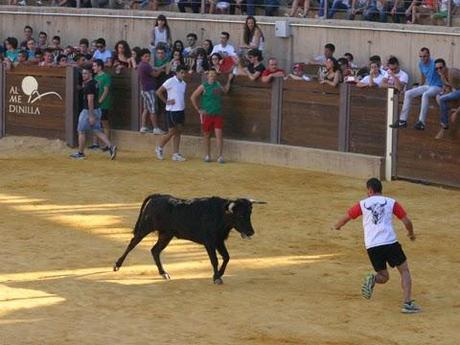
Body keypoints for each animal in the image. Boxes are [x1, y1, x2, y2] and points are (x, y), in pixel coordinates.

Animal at [113, 195, 266, 284]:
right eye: (240, 215)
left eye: (250, 213)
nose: (251, 232)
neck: (220, 214)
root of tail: (158, 196)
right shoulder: (209, 242)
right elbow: (215, 260)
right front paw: (216, 277)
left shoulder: (219, 241)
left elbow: (227, 257)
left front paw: (220, 274)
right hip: (146, 227)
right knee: (132, 243)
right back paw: (117, 265)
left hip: (166, 235)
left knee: (155, 250)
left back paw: (164, 273)